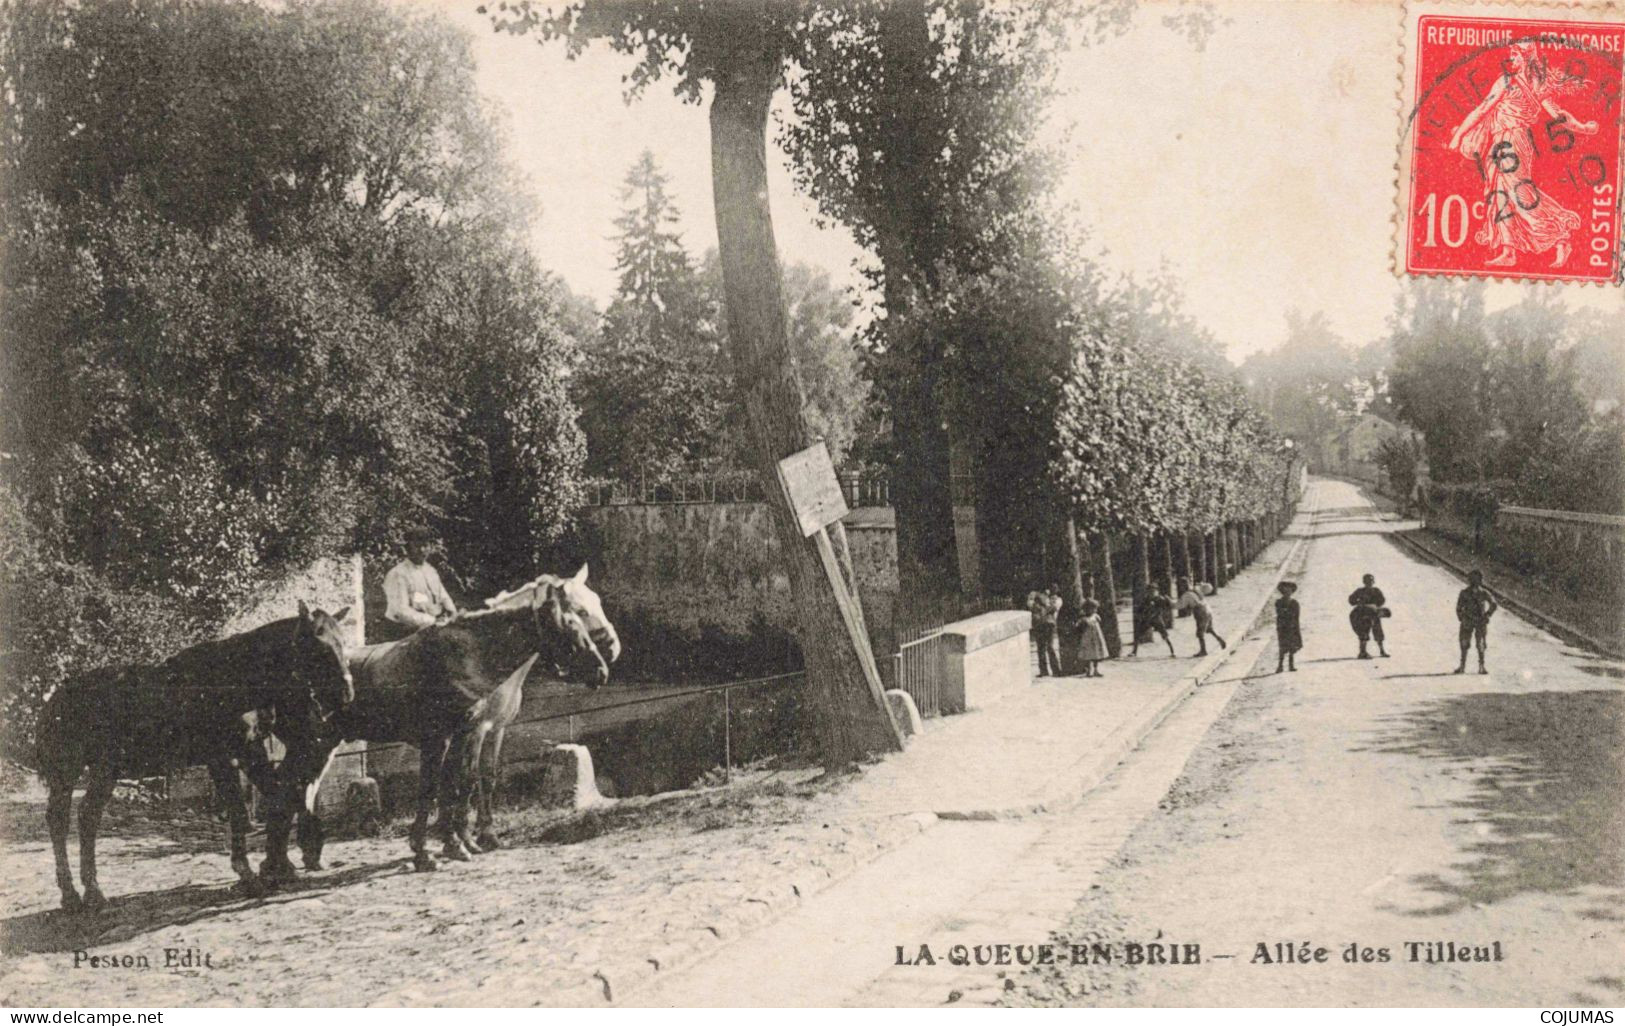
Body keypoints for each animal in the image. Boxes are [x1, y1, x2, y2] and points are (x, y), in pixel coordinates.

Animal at [36, 601, 351, 917]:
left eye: (343, 642)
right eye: (318, 643)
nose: (346, 694)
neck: (234, 677)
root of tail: (56, 698)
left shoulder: (250, 750)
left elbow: (279, 799)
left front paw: (279, 866)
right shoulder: (222, 757)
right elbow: (239, 812)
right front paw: (247, 873)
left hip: (101, 772)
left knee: (83, 817)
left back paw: (84, 893)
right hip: (81, 771)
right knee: (67, 820)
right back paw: (80, 894)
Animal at [269, 578, 611, 878]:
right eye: (572, 623)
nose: (602, 670)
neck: (462, 660)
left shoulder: (468, 734)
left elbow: (458, 783)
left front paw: (458, 844)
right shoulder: (444, 738)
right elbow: (436, 787)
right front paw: (426, 851)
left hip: (323, 745)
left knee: (303, 789)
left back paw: (306, 858)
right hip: (310, 744)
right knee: (286, 787)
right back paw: (277, 866)